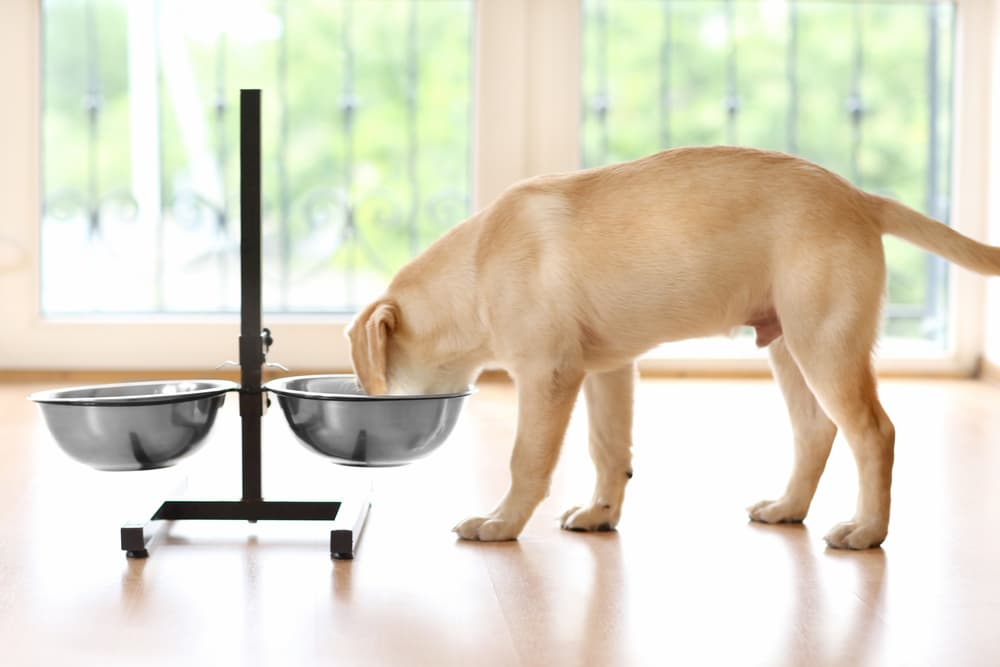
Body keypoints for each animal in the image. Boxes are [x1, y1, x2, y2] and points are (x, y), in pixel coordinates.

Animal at [346, 149, 1000, 552]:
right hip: (791, 346)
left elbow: (526, 460)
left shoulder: (548, 374)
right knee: (816, 431)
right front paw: (600, 514)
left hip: (826, 345)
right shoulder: (607, 370)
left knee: (873, 434)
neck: (480, 268)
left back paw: (867, 531)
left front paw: (500, 523)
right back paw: (787, 507)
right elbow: (609, 450)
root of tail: (860, 198)